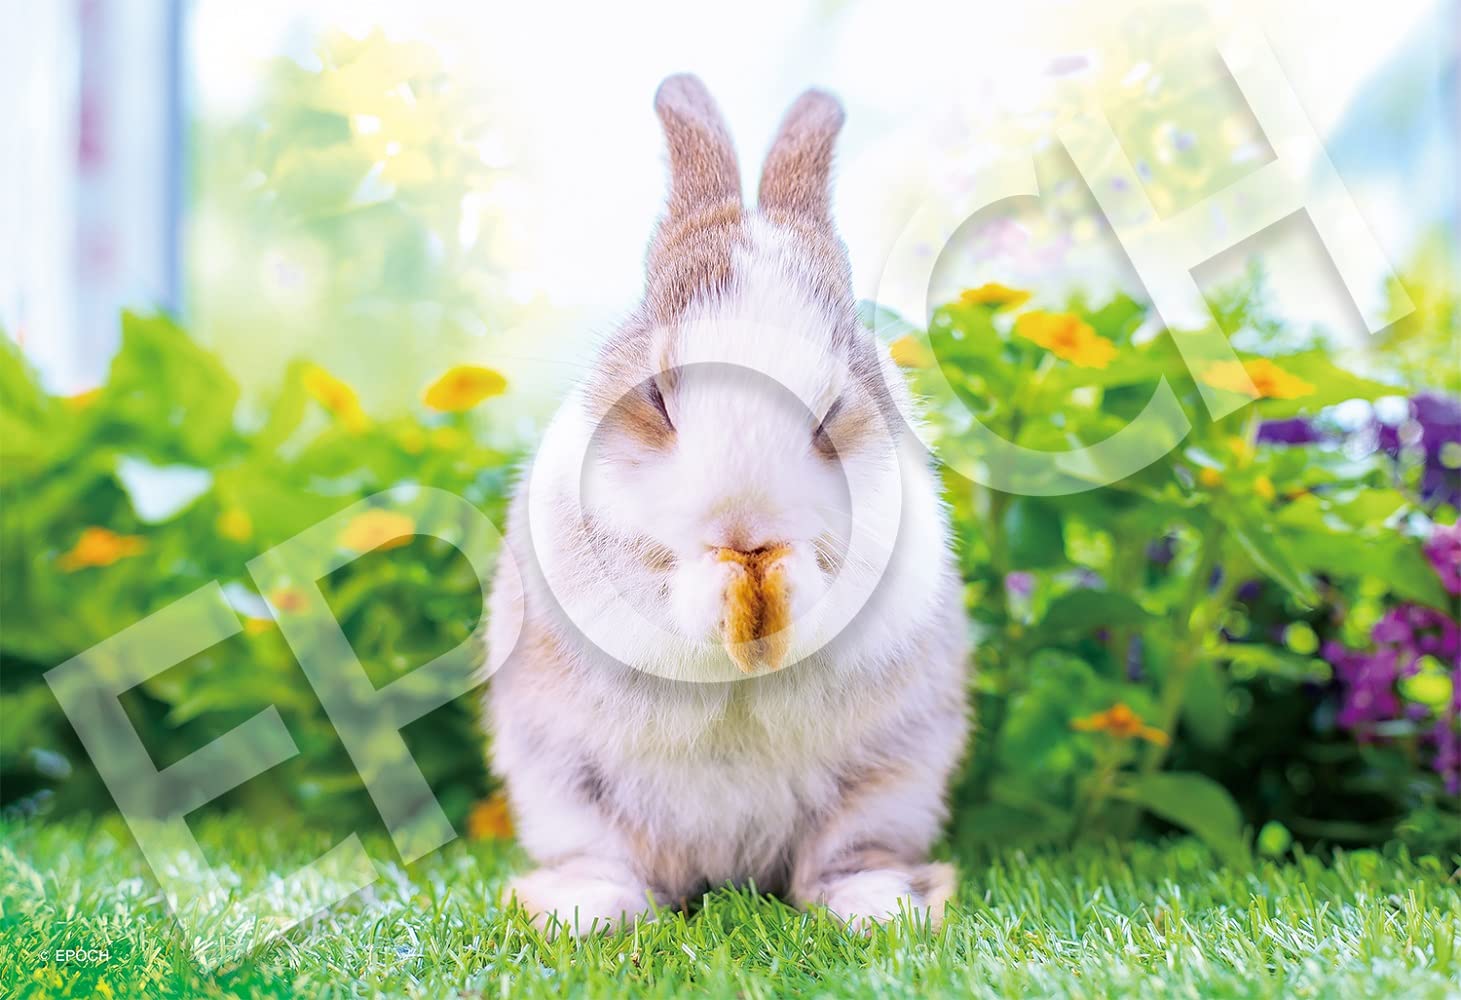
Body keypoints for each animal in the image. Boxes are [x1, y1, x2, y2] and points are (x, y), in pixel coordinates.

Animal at [484, 73, 969, 933]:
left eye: (831, 409)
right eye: (656, 397)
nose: (744, 526)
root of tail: (725, 870)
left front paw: (782, 581)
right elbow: (665, 596)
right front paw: (720, 586)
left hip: (889, 787)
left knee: (837, 863)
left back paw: (879, 907)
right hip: (565, 794)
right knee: (618, 870)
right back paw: (584, 910)